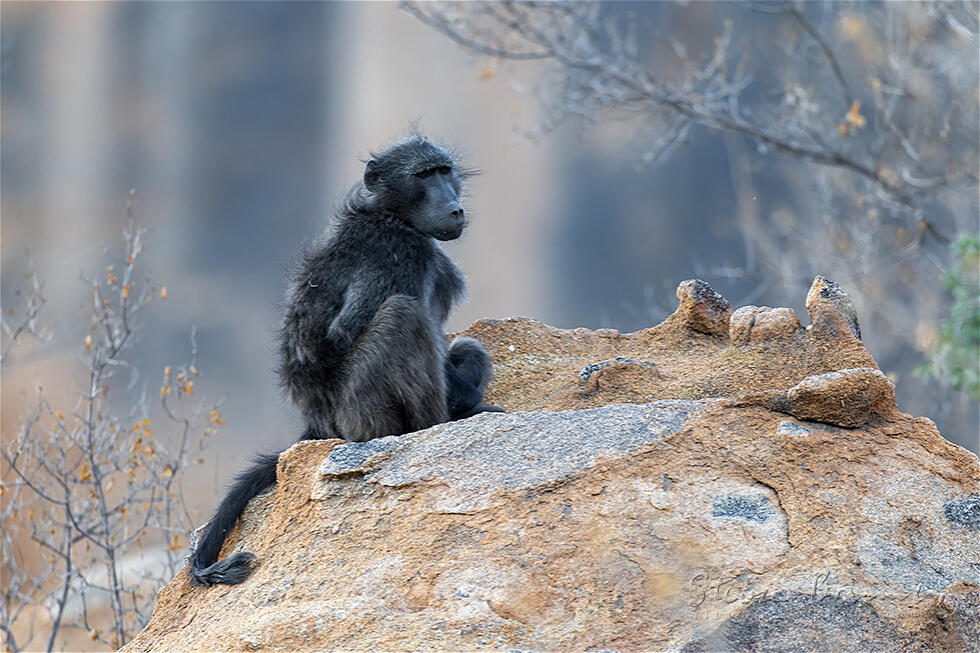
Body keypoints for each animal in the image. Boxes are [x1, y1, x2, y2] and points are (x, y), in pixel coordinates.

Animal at [188, 135, 501, 586]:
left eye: (445, 171)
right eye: (425, 175)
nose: (455, 208)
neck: (389, 213)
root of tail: (320, 425)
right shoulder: (399, 251)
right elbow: (347, 330)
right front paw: (473, 407)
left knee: (468, 348)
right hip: (361, 416)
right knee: (402, 315)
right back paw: (440, 422)